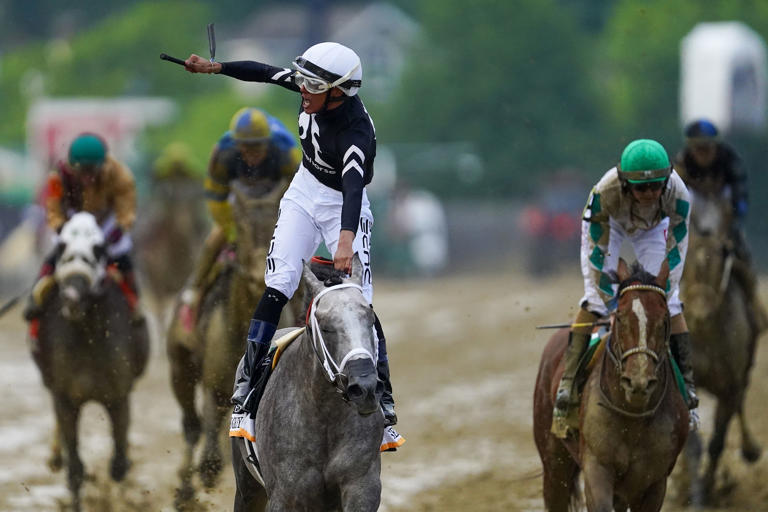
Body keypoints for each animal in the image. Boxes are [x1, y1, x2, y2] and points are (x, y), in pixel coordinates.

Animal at [34, 211, 148, 508]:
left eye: (98, 250)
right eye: (62, 249)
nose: (72, 298)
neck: (88, 338)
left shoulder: (118, 396)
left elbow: (118, 465)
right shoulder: (65, 397)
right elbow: (75, 469)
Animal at [168, 179, 300, 504]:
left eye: (277, 222)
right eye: (240, 226)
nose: (259, 273)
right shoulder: (214, 383)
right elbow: (210, 449)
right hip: (180, 367)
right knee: (192, 426)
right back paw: (185, 490)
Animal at [228, 256, 384, 512]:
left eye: (371, 320)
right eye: (326, 326)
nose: (365, 388)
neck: (324, 416)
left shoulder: (361, 486)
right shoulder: (285, 496)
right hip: (247, 487)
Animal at [536, 262, 688, 510]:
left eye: (664, 320)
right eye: (620, 317)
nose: (638, 381)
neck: (633, 418)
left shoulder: (654, 482)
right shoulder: (597, 467)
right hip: (553, 461)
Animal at [680, 189, 760, 504]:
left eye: (725, 251)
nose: (700, 311)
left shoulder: (731, 383)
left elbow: (717, 440)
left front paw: (709, 487)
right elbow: (692, 445)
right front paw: (691, 495)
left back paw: (750, 450)